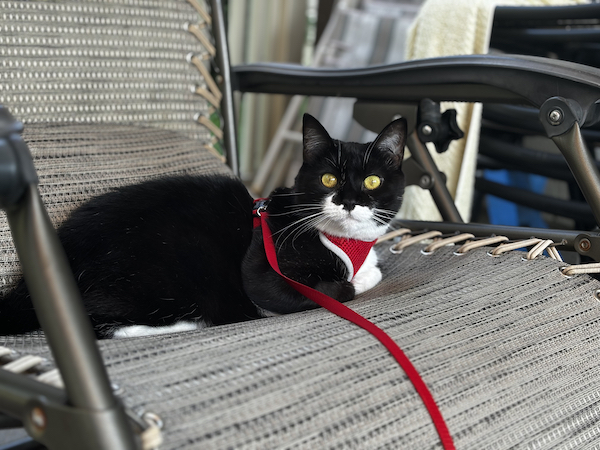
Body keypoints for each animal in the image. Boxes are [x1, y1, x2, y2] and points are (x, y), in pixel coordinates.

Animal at [0, 114, 408, 340]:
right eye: (327, 179)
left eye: (372, 181)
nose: (348, 201)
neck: (346, 242)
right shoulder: (264, 272)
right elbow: (340, 288)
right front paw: (356, 279)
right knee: (100, 325)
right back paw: (190, 323)